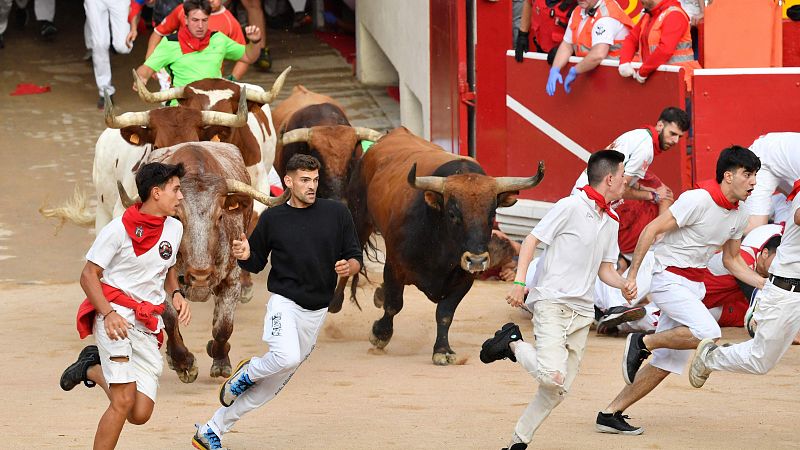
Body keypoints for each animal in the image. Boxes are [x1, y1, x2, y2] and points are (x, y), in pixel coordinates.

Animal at [115, 142, 284, 382]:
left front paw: (220, 359)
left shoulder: (232, 279)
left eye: (220, 216)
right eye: (177, 217)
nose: (200, 276)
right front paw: (183, 362)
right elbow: (170, 319)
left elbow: (223, 326)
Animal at [338, 126, 544, 366]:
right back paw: (336, 301)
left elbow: (445, 313)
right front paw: (380, 334)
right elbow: (394, 304)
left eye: (492, 214)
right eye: (453, 214)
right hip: (358, 219)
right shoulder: (394, 267)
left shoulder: (464, 279)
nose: (476, 260)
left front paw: (442, 350)